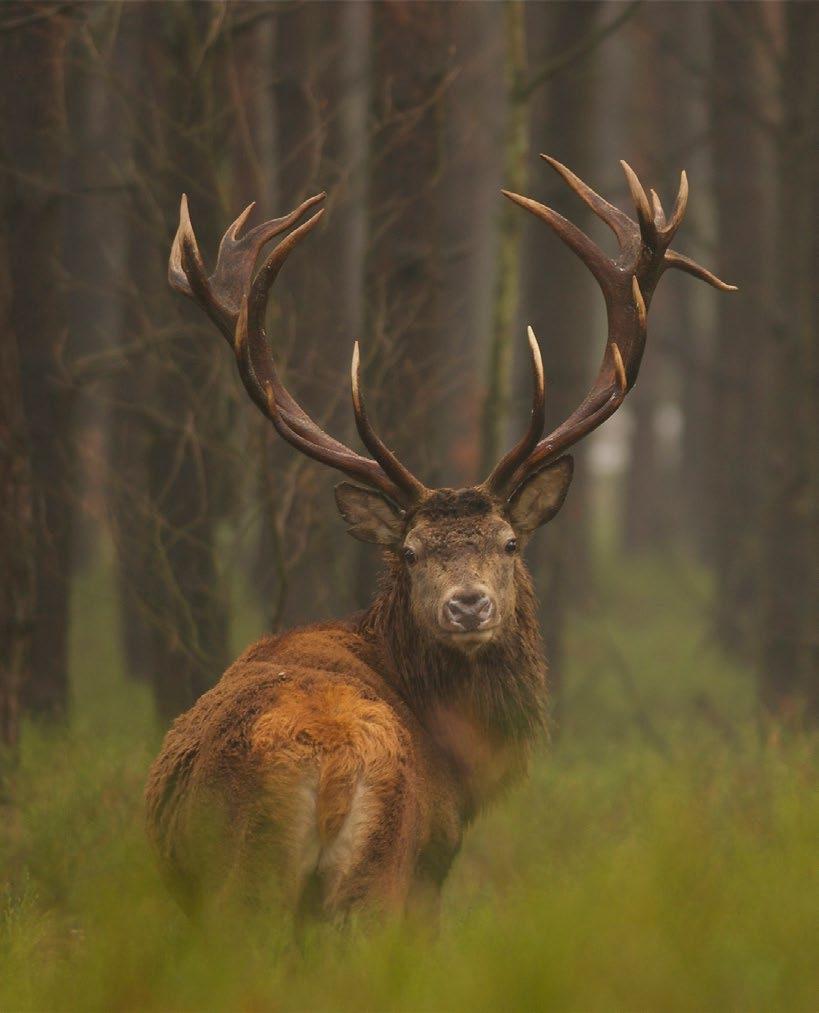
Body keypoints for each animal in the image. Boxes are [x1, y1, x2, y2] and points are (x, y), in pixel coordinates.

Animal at [143, 153, 733, 923]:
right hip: (332, 876)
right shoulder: (433, 859)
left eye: (508, 543)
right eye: (410, 552)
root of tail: (331, 761)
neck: (461, 763)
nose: (468, 604)